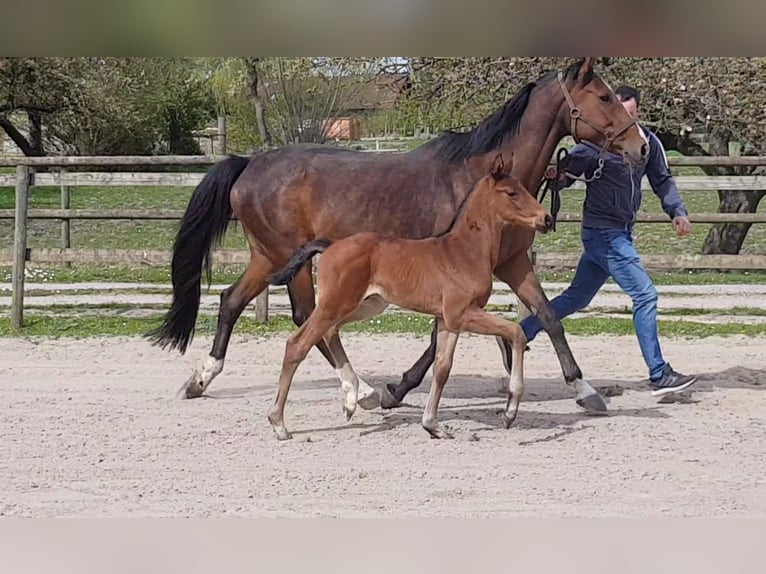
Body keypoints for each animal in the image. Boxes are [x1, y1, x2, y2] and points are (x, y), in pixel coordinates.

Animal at [268, 153, 556, 440]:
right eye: (512, 193)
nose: (547, 219)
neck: (464, 252)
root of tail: (331, 245)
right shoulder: (461, 313)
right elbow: (516, 332)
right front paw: (509, 411)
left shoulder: (447, 321)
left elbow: (442, 368)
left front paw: (432, 425)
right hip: (336, 303)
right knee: (297, 344)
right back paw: (279, 423)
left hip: (366, 305)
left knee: (329, 332)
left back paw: (351, 399)